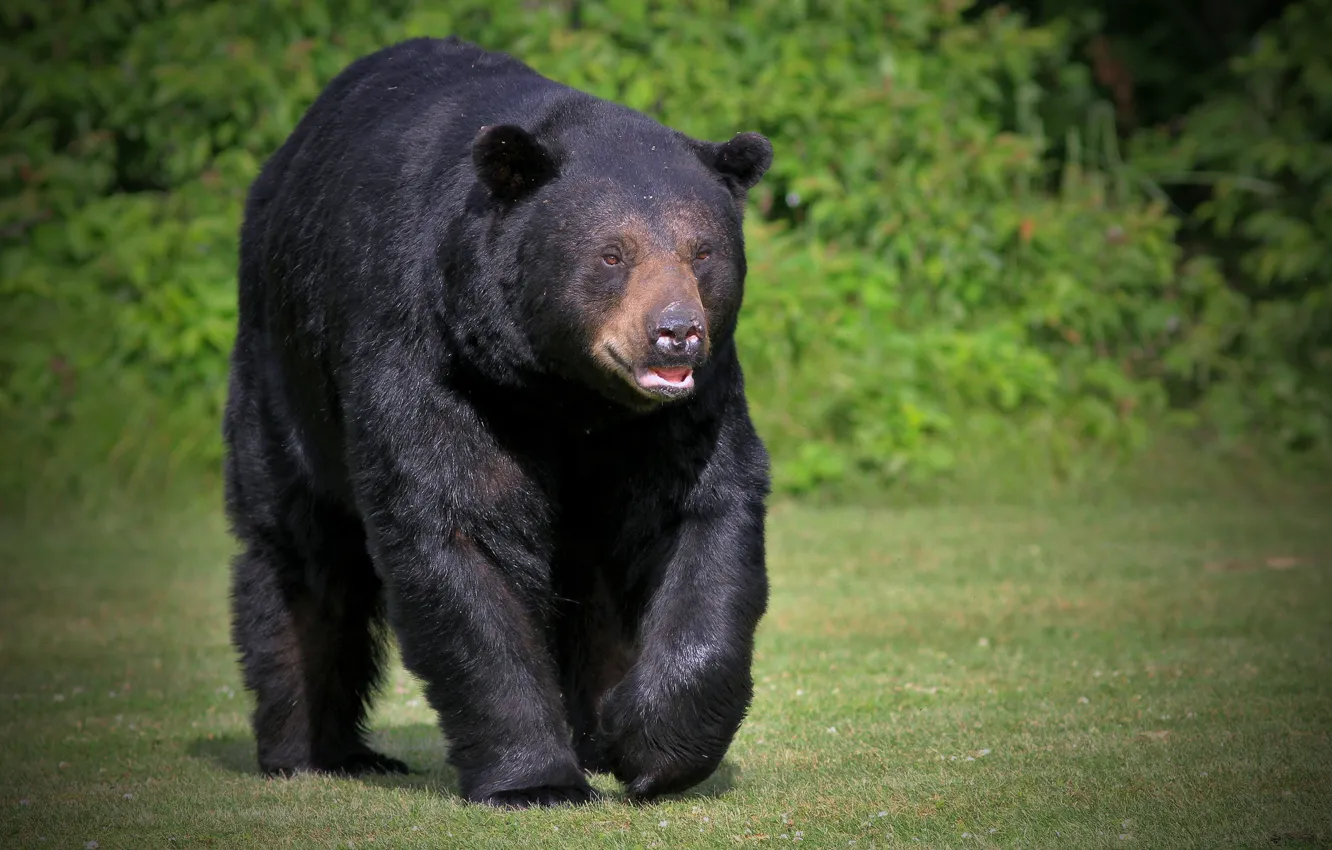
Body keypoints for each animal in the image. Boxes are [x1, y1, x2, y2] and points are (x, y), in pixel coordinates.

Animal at [222, 35, 774, 808]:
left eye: (703, 252)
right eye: (613, 252)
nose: (675, 334)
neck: (562, 392)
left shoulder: (684, 410)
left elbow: (699, 519)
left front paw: (651, 746)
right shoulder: (434, 359)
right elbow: (459, 526)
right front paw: (536, 779)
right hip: (284, 375)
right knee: (301, 552)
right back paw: (312, 749)